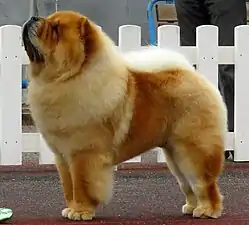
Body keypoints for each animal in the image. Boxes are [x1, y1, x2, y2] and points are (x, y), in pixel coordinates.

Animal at [22, 10, 227, 220]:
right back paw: (191, 208)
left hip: (192, 150)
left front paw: (80, 212)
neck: (65, 79)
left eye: (55, 29)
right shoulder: (63, 156)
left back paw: (207, 211)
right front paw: (70, 208)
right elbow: (68, 186)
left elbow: (81, 186)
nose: (33, 18)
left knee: (205, 184)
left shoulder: (83, 155)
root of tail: (193, 75)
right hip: (174, 154)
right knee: (188, 184)